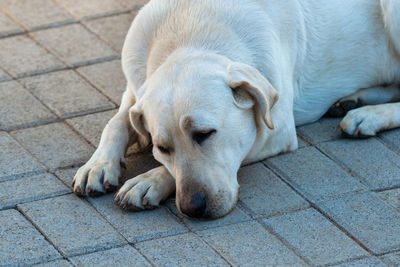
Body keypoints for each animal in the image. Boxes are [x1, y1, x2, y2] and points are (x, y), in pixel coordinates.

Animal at [72, 0, 400, 220]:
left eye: (205, 133)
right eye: (162, 148)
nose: (192, 208)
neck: (191, 30)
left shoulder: (277, 131)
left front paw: (149, 180)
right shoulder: (135, 89)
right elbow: (116, 124)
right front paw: (99, 164)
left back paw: (369, 115)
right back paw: (355, 100)